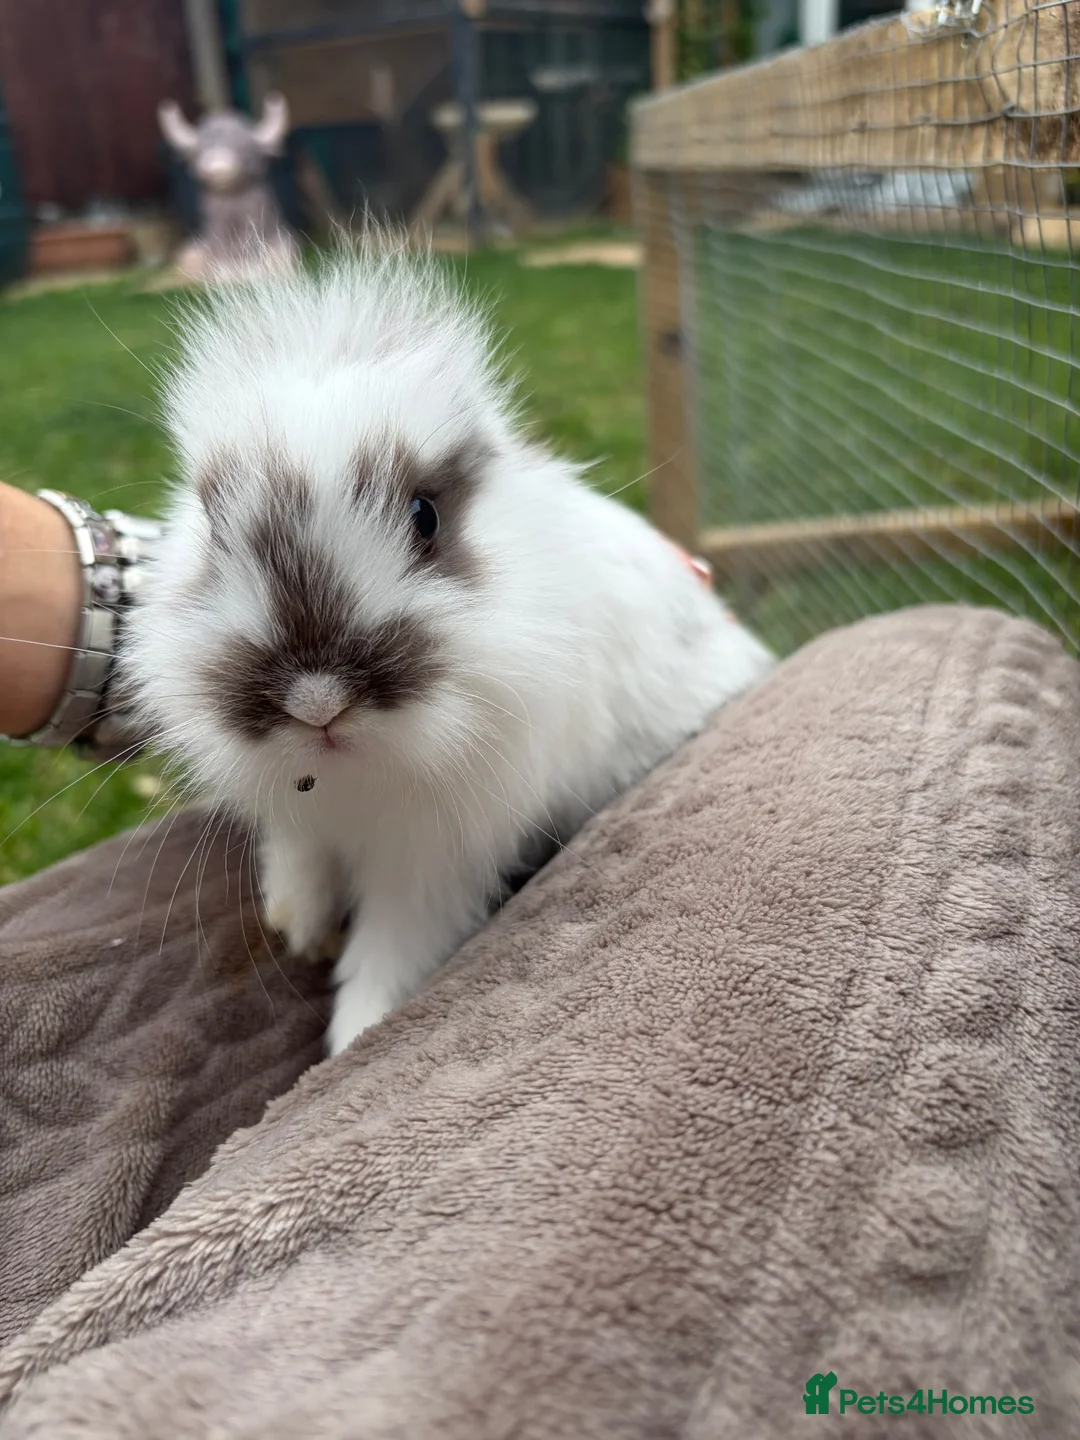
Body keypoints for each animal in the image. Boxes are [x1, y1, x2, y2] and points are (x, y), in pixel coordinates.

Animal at [120, 243, 775, 1057]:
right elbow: (299, 850)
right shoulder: (301, 814)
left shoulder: (432, 859)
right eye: (213, 531)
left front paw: (352, 1039)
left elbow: (393, 950)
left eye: (424, 515)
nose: (318, 702)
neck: (354, 777)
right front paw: (298, 923)